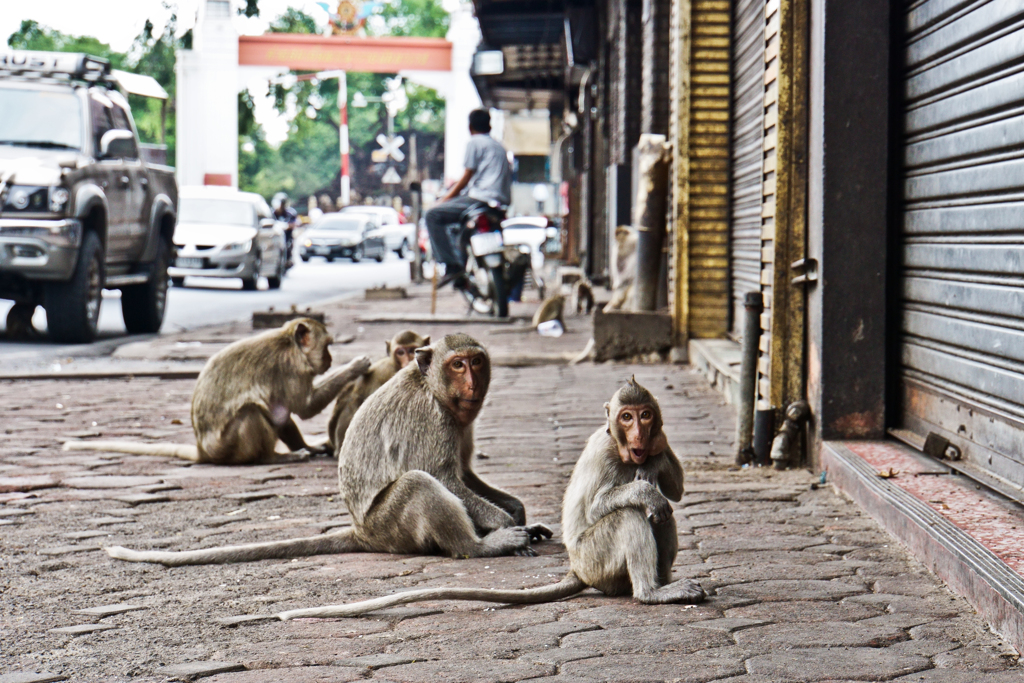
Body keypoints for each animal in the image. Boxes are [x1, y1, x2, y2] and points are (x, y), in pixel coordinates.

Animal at [62, 319, 372, 464]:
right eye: (327, 346)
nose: (330, 360)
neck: (289, 343)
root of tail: (203, 451)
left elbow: (284, 415)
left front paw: (312, 445)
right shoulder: (293, 369)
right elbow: (305, 407)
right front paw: (354, 366)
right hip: (228, 446)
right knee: (251, 412)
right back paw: (273, 458)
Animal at [103, 331, 552, 565]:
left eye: (476, 362)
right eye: (457, 364)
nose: (472, 382)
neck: (435, 390)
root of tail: (362, 532)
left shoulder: (461, 419)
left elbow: (466, 474)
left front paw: (518, 513)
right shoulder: (433, 418)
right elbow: (446, 477)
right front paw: (505, 525)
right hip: (389, 525)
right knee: (418, 484)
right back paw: (477, 546)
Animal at [256, 376, 704, 622]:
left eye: (645, 415)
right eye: (626, 418)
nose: (639, 434)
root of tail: (578, 570)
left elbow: (675, 491)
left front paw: (654, 460)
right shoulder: (607, 453)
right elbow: (602, 504)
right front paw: (644, 486)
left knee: (663, 515)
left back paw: (664, 580)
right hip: (596, 560)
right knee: (633, 516)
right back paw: (651, 591)